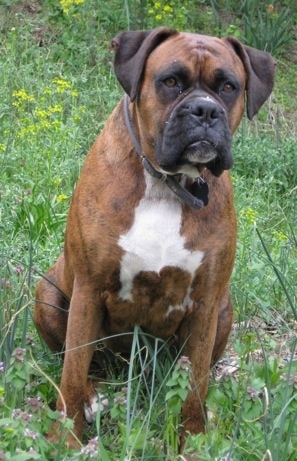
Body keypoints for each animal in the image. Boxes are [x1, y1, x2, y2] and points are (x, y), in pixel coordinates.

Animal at [34, 27, 276, 452]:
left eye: (229, 87)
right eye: (171, 81)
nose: (204, 111)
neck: (166, 184)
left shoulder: (206, 302)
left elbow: (196, 383)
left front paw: (193, 442)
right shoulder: (88, 290)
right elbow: (73, 373)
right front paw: (65, 439)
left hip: (224, 309)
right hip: (47, 293)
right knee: (84, 364)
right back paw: (96, 396)